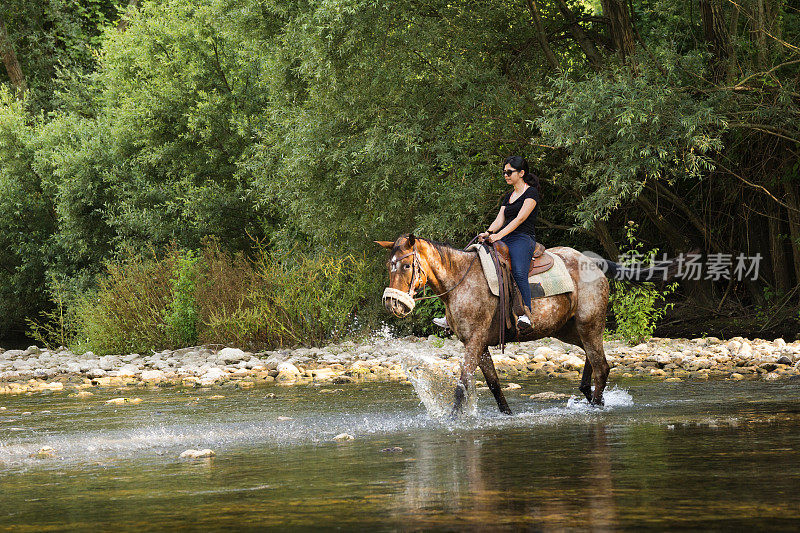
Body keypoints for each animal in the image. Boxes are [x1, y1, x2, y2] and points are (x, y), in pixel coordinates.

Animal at [378, 234, 628, 416]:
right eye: (389, 266)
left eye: (407, 266)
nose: (392, 304)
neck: (460, 281)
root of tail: (594, 263)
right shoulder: (479, 345)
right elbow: (493, 384)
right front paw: (507, 414)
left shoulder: (474, 341)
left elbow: (462, 384)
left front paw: (452, 419)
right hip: (568, 330)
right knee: (592, 358)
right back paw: (589, 393)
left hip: (589, 324)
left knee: (601, 366)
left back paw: (595, 405)